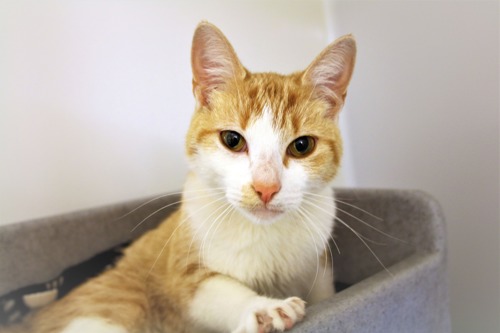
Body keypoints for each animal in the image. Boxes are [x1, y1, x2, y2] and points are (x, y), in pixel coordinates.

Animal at [1, 21, 358, 332]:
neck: (262, 234)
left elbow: (325, 293)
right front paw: (262, 308)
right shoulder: (183, 268)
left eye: (302, 146)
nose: (266, 187)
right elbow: (212, 289)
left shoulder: (319, 263)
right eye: (232, 140)